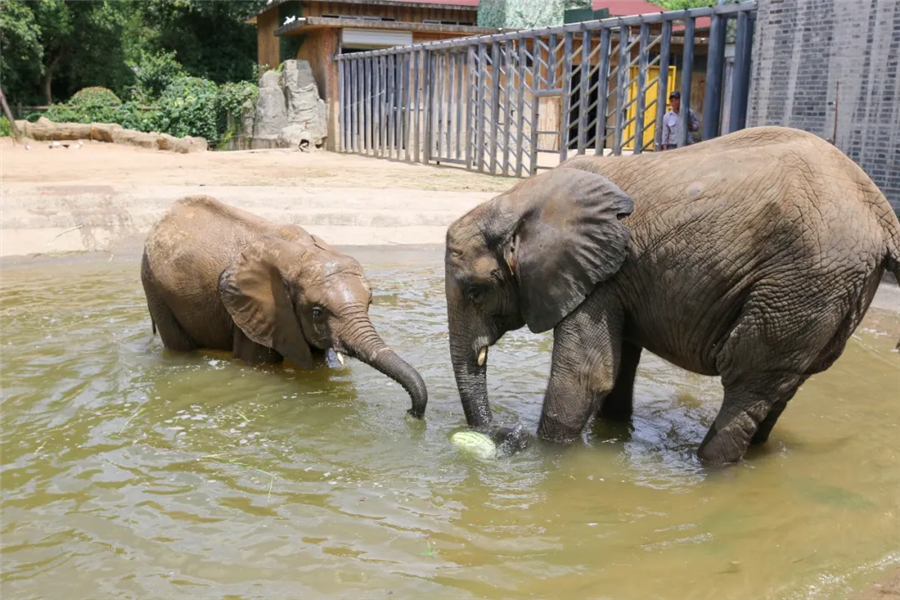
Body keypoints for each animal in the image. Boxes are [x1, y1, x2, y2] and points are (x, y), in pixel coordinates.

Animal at [143, 196, 428, 418]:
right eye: (316, 312)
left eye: (369, 303)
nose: (410, 412)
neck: (300, 256)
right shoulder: (254, 314)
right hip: (155, 288)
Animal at [444, 125, 900, 464]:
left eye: (476, 292)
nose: (509, 434)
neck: (521, 199)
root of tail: (881, 210)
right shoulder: (617, 276)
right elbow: (619, 366)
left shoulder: (598, 276)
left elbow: (587, 376)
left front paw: (548, 456)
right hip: (824, 292)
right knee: (779, 386)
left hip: (802, 282)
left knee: (747, 377)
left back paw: (708, 465)